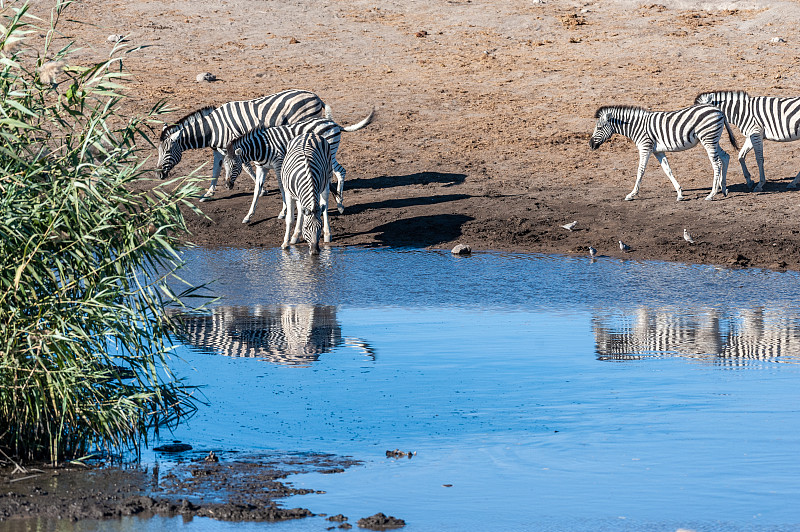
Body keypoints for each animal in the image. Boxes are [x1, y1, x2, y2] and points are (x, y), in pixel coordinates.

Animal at [156, 89, 324, 202]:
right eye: (158, 151)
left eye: (168, 151)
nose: (158, 175)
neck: (212, 129)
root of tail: (315, 96)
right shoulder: (218, 150)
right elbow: (216, 170)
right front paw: (208, 194)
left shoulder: (231, 146)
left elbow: (245, 166)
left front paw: (262, 190)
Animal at [223, 109, 374, 223]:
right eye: (224, 166)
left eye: (235, 165)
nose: (227, 185)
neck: (261, 147)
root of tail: (333, 123)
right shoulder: (261, 168)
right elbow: (256, 191)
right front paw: (248, 216)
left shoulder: (278, 164)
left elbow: (282, 188)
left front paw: (283, 212)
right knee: (340, 172)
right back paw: (339, 204)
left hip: (329, 153)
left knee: (338, 173)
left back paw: (339, 204)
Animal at [588, 104, 736, 202]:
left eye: (599, 127)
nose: (590, 144)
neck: (636, 126)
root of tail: (718, 110)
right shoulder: (658, 151)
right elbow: (667, 170)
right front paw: (680, 193)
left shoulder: (645, 147)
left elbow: (640, 170)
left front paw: (632, 194)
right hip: (713, 140)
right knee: (725, 156)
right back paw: (723, 189)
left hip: (708, 139)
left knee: (717, 163)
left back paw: (712, 194)